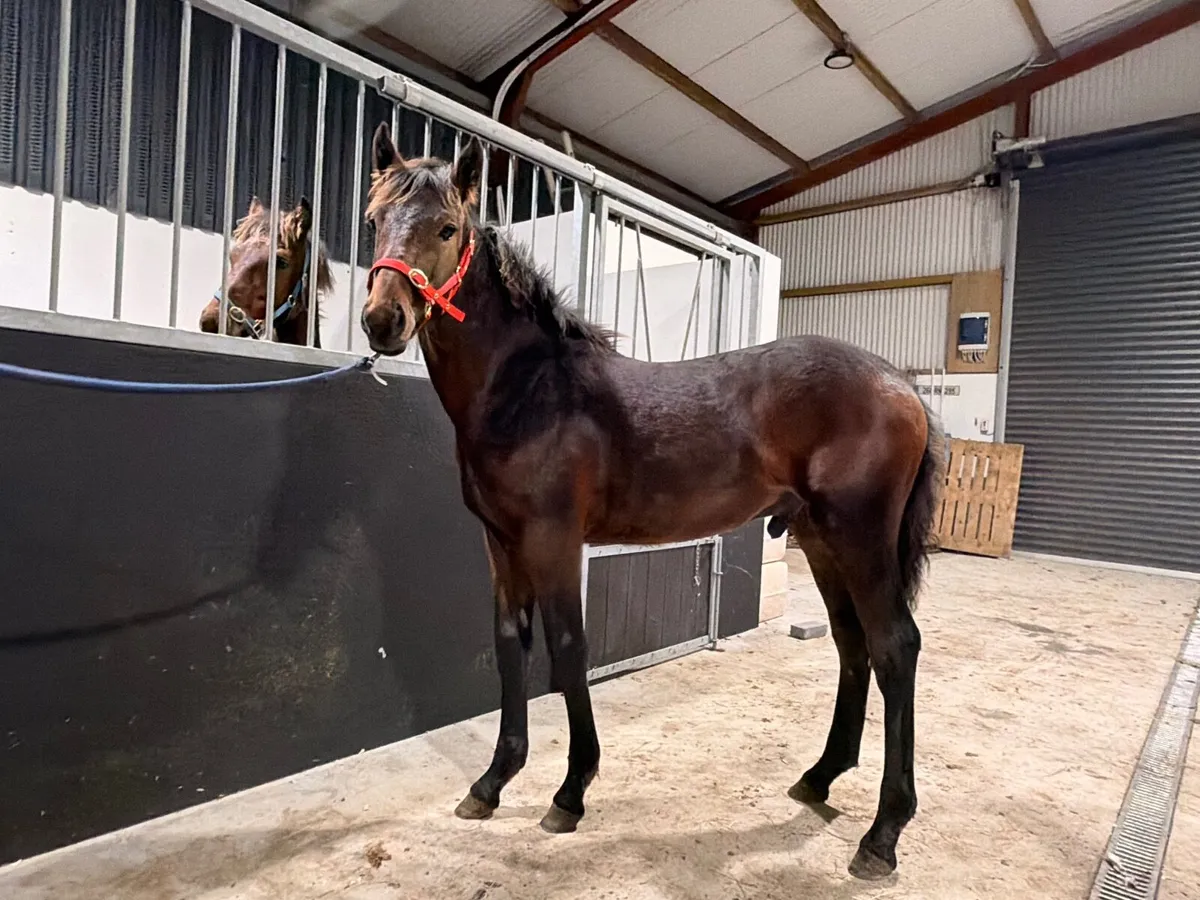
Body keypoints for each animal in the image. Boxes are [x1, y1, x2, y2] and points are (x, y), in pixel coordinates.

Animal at [358, 122, 943, 881]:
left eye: (447, 228)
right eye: (374, 221)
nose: (382, 320)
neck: (533, 390)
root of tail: (902, 385)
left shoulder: (553, 541)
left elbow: (568, 649)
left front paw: (570, 793)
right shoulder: (500, 542)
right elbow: (510, 644)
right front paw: (491, 783)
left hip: (861, 539)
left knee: (895, 645)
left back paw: (882, 834)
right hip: (821, 540)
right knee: (852, 644)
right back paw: (819, 779)